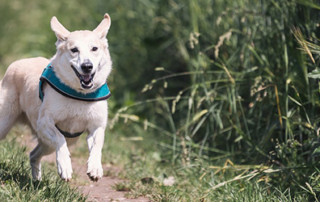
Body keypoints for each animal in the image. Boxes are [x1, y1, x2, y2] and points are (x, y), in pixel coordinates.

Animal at [0, 13, 112, 181]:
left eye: (94, 48)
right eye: (74, 50)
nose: (87, 66)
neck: (79, 94)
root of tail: (16, 63)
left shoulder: (96, 126)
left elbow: (97, 145)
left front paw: (95, 168)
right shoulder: (45, 123)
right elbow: (60, 139)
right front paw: (65, 166)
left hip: (48, 144)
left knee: (33, 155)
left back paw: (36, 181)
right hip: (5, 122)